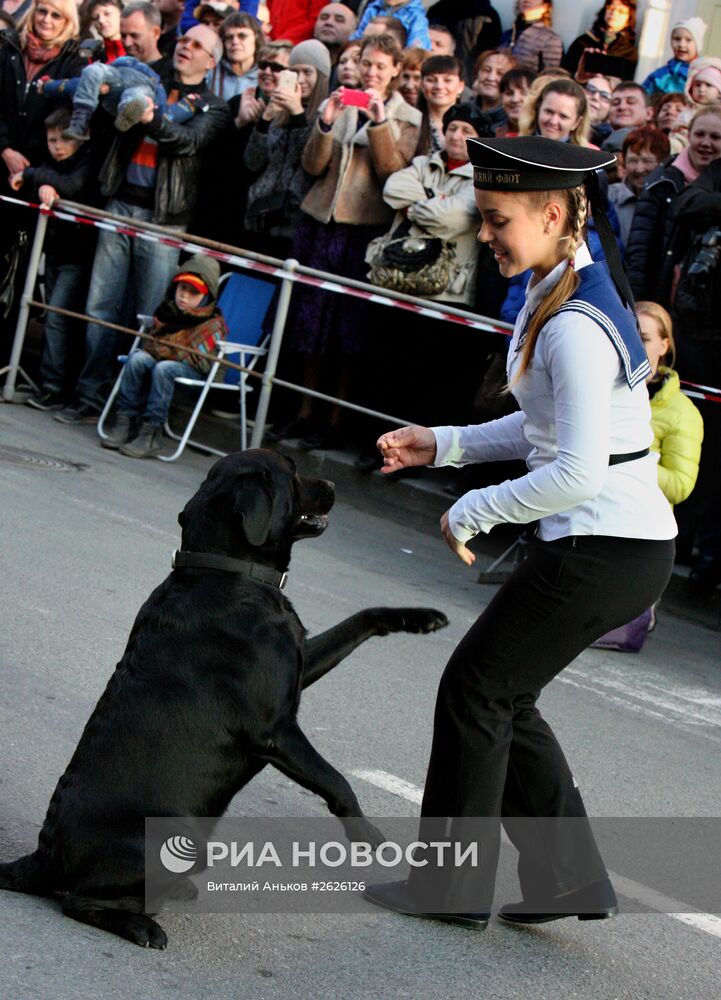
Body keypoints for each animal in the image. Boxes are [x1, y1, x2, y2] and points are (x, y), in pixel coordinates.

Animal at [0, 450, 448, 948]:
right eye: (293, 474)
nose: (334, 484)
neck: (230, 571)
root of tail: (43, 855)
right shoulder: (275, 731)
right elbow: (337, 782)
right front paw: (369, 837)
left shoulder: (302, 666)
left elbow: (360, 619)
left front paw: (418, 618)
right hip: (168, 843)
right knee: (80, 901)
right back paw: (143, 926)